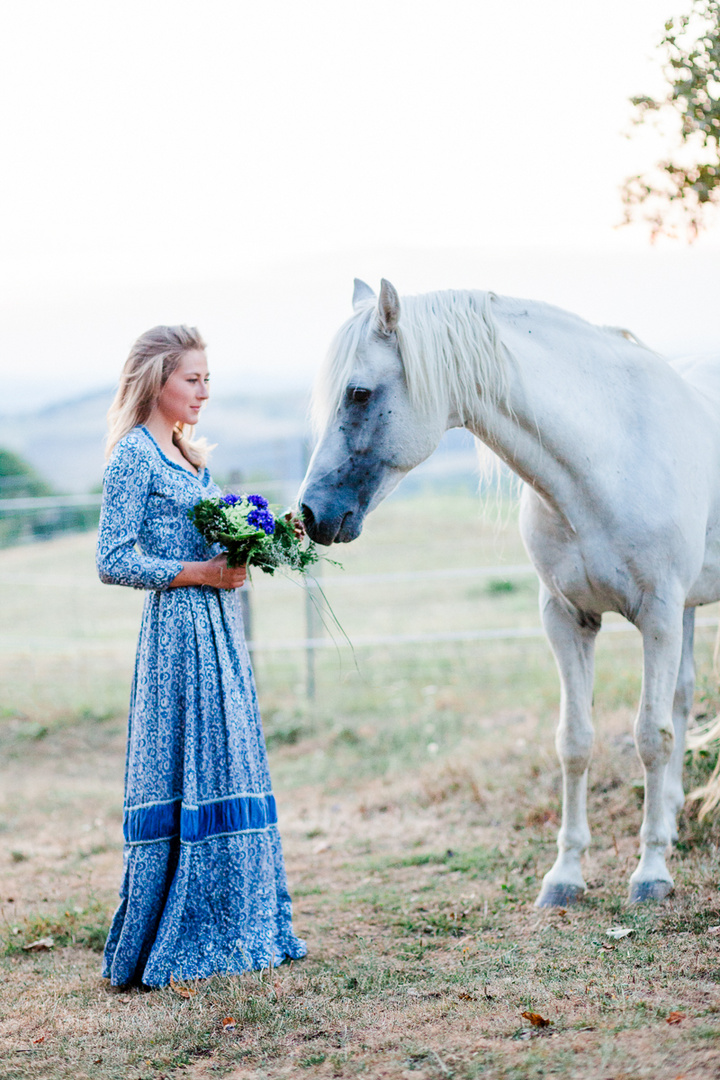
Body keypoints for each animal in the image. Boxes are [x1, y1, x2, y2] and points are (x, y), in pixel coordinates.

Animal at [297, 276, 720, 902]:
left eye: (358, 393)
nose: (310, 514)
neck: (612, 454)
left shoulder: (660, 617)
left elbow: (651, 737)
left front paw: (650, 873)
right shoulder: (567, 618)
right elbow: (575, 741)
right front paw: (566, 874)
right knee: (684, 697)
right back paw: (668, 816)